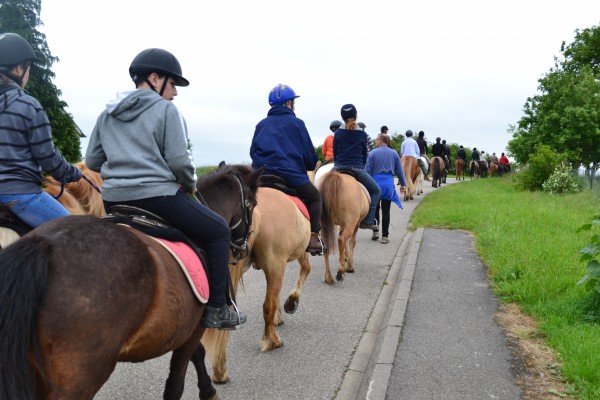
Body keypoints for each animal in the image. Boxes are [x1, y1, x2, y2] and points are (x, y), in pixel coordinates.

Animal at [0, 163, 262, 400]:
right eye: (252, 202)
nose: (244, 247)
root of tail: (43, 245)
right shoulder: (195, 327)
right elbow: (177, 382)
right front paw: (207, 390)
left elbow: (196, 354)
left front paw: (208, 389)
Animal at [202, 183, 314, 382]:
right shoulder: (294, 256)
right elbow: (305, 270)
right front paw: (291, 302)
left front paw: (279, 317)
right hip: (276, 265)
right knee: (267, 306)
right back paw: (272, 341)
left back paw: (219, 370)